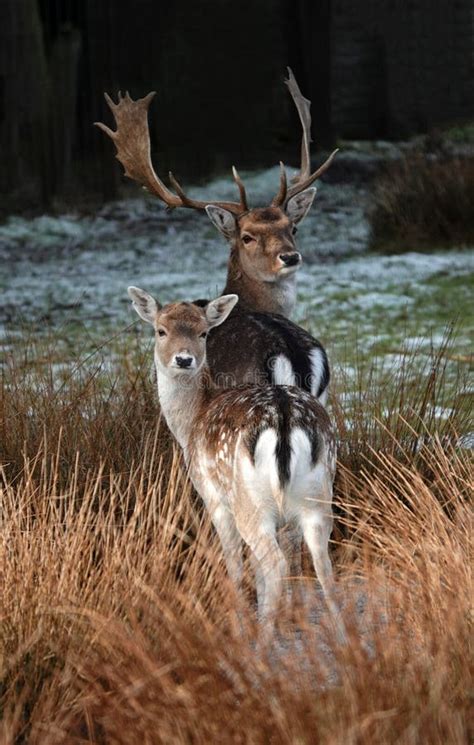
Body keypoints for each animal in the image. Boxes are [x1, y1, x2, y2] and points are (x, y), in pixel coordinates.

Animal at [128, 286, 344, 640]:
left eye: (203, 332)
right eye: (161, 330)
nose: (184, 359)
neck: (192, 420)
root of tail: (284, 418)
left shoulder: (213, 497)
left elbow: (234, 560)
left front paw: (239, 619)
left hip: (250, 500)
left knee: (274, 562)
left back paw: (263, 637)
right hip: (317, 494)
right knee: (320, 563)